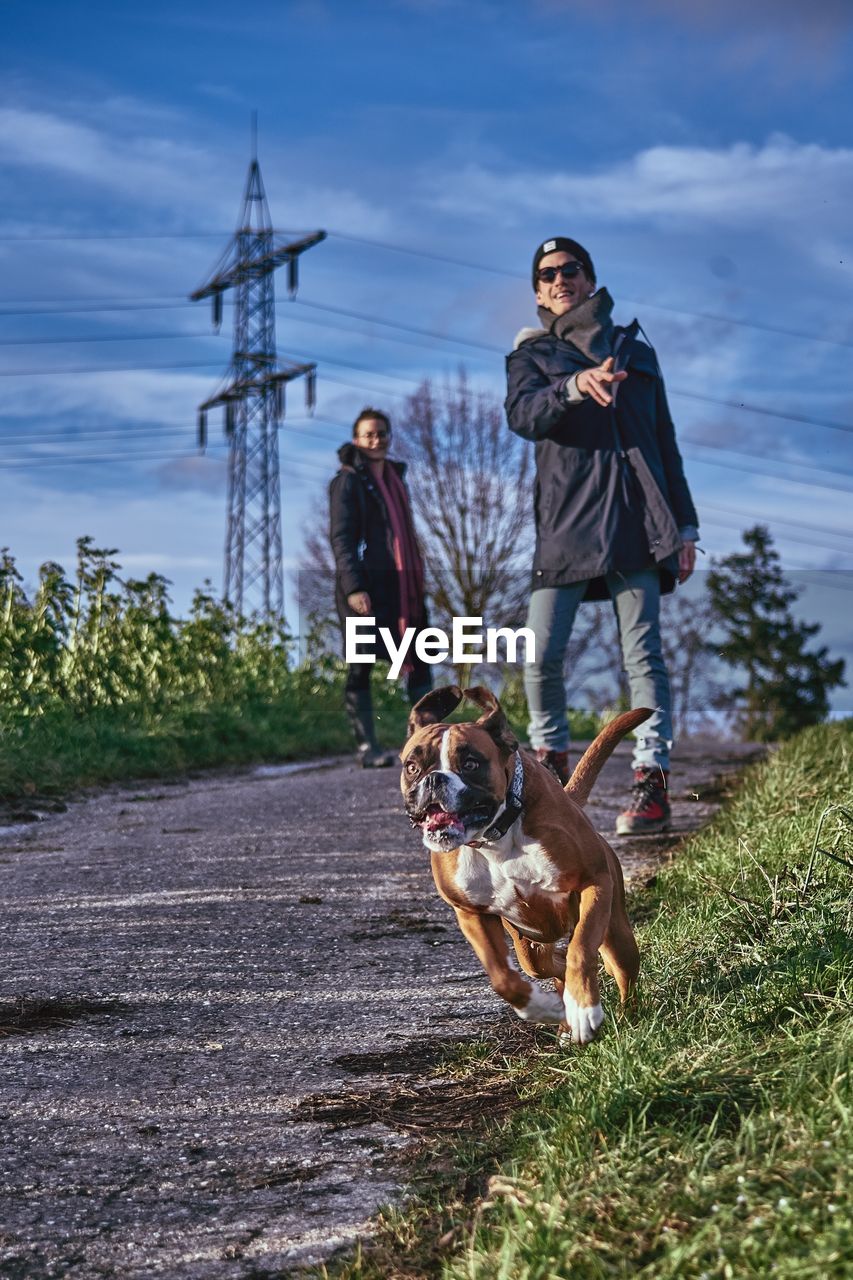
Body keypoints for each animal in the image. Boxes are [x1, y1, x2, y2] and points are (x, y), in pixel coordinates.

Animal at [399, 691, 645, 1039]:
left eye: (471, 764)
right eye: (412, 767)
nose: (434, 779)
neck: (495, 835)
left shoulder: (594, 882)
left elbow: (582, 948)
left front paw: (584, 1006)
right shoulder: (471, 914)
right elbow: (502, 977)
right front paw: (539, 1007)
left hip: (617, 935)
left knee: (611, 967)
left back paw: (623, 1018)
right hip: (530, 946)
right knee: (551, 963)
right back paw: (563, 1016)